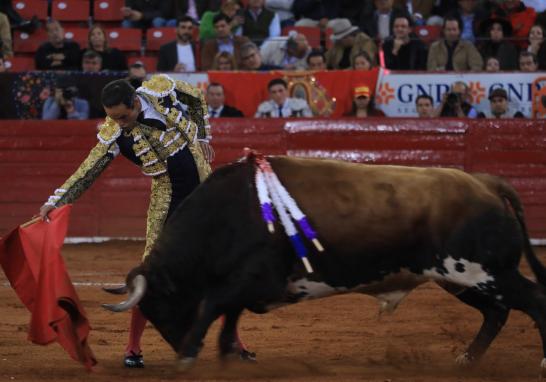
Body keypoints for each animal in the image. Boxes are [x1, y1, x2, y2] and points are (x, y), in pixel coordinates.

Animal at [103, 157, 546, 374]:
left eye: (160, 304)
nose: (178, 342)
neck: (229, 212)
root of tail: (487, 184)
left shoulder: (255, 277)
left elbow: (214, 305)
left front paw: (190, 357)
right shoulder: (246, 286)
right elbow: (228, 315)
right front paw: (226, 357)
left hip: (481, 271)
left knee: (533, 299)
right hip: (461, 278)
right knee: (497, 313)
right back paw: (467, 361)